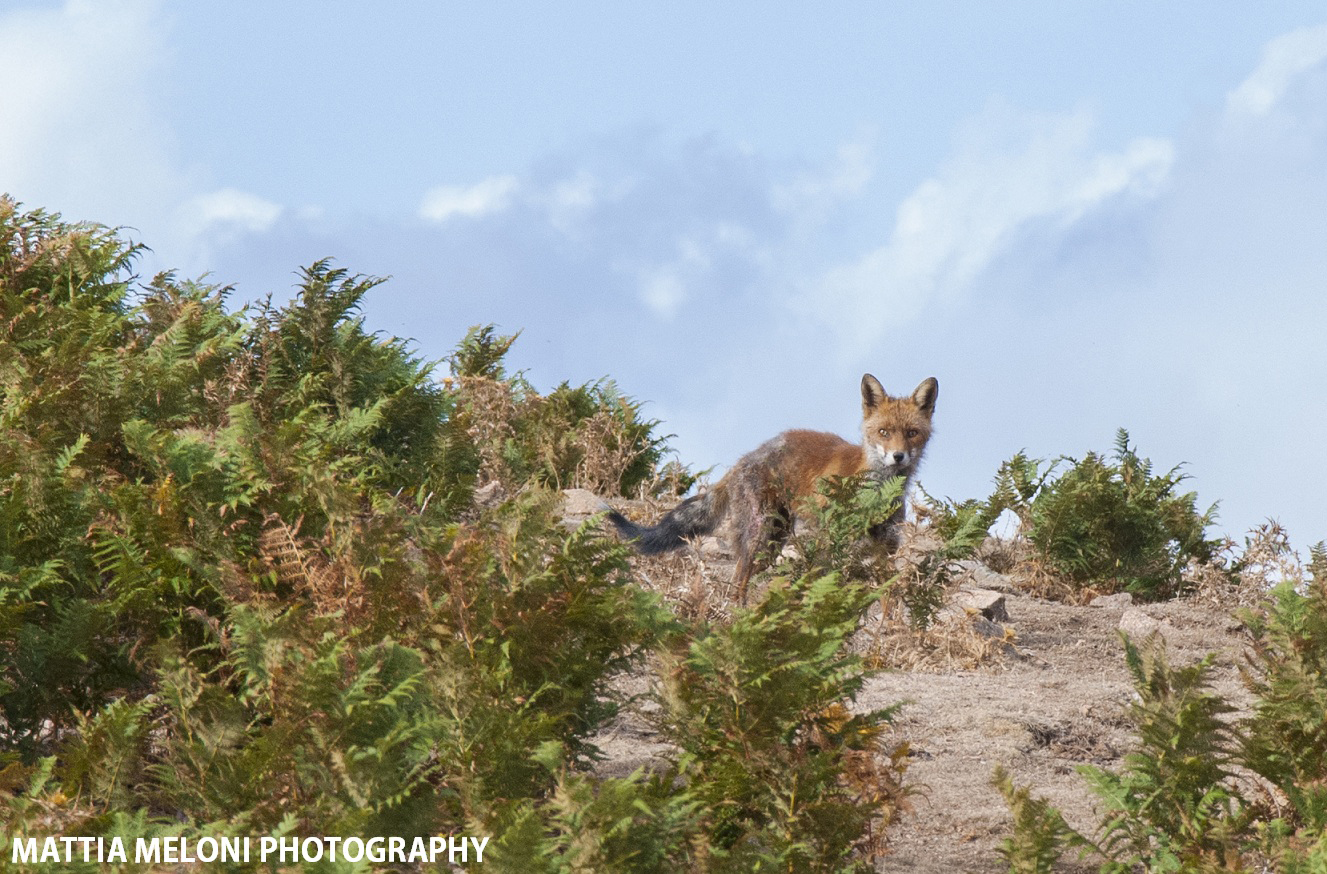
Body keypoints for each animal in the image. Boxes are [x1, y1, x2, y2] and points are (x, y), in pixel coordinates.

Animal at [607, 374, 938, 601]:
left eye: (912, 433)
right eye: (884, 432)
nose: (898, 457)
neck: (874, 493)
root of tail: (744, 459)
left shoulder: (886, 549)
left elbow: (887, 602)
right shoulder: (829, 541)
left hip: (771, 543)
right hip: (760, 537)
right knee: (737, 584)